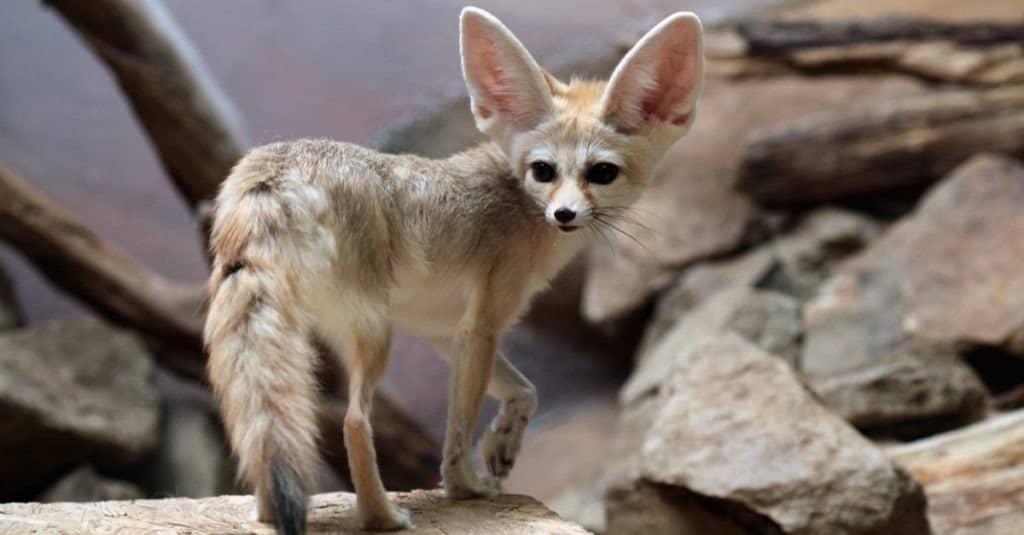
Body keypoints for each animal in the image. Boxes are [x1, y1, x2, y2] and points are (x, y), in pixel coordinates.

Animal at [207, 5, 704, 532]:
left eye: (602, 173)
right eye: (543, 171)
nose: (564, 214)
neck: (519, 202)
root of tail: (273, 172)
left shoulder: (442, 330)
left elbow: (526, 390)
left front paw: (503, 444)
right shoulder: (481, 327)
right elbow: (459, 428)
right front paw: (465, 485)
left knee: (266, 430)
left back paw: (266, 510)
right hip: (375, 335)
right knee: (354, 422)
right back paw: (382, 515)